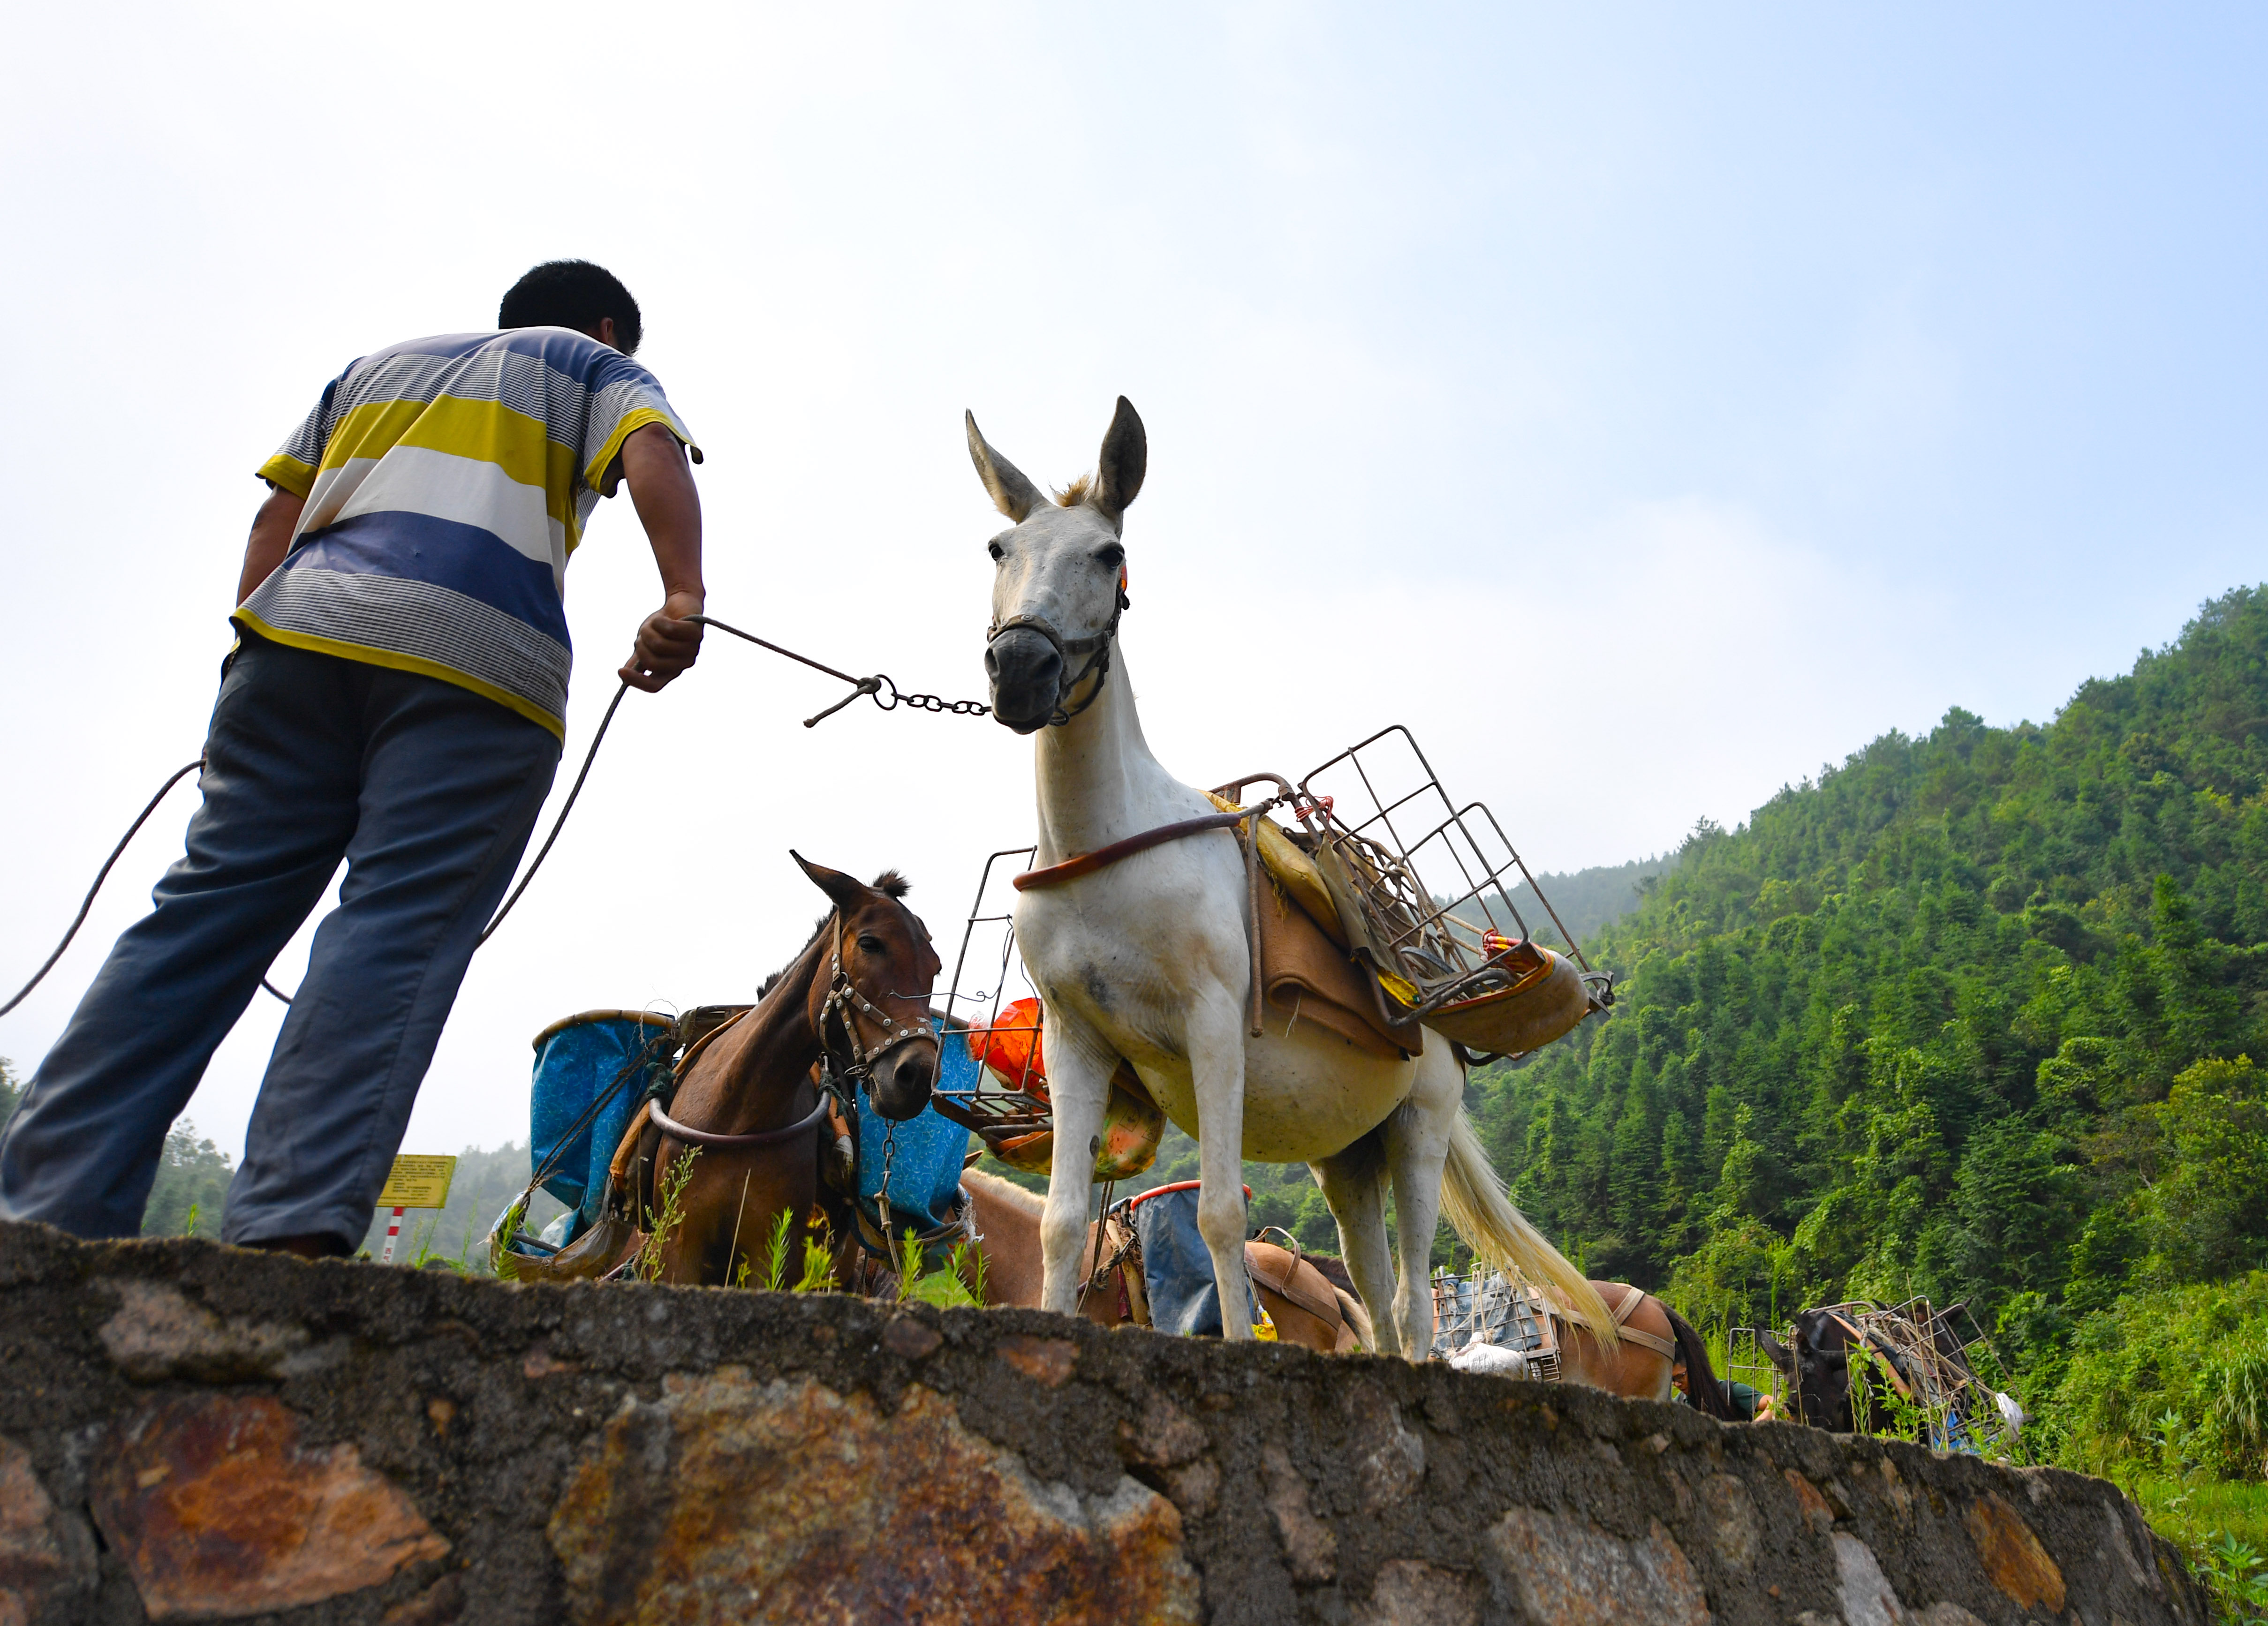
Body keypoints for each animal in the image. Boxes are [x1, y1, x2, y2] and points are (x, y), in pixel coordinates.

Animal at [549, 857, 948, 1288]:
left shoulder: (772, 1254)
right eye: (871, 944)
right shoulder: (677, 1249)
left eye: (936, 968)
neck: (737, 1115)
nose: (917, 1076)